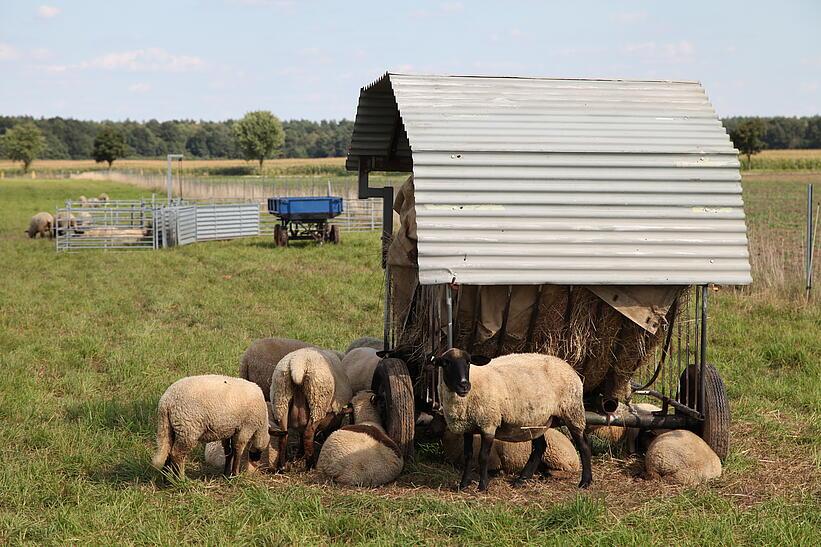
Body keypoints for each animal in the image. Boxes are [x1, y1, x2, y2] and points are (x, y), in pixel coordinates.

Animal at [430, 352, 588, 492]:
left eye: (468, 362)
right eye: (445, 363)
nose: (464, 385)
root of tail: (567, 365)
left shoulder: (489, 423)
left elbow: (483, 457)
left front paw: (482, 486)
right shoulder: (467, 427)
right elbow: (468, 456)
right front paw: (463, 485)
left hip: (572, 410)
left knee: (584, 445)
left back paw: (585, 482)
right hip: (538, 422)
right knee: (540, 448)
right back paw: (522, 480)